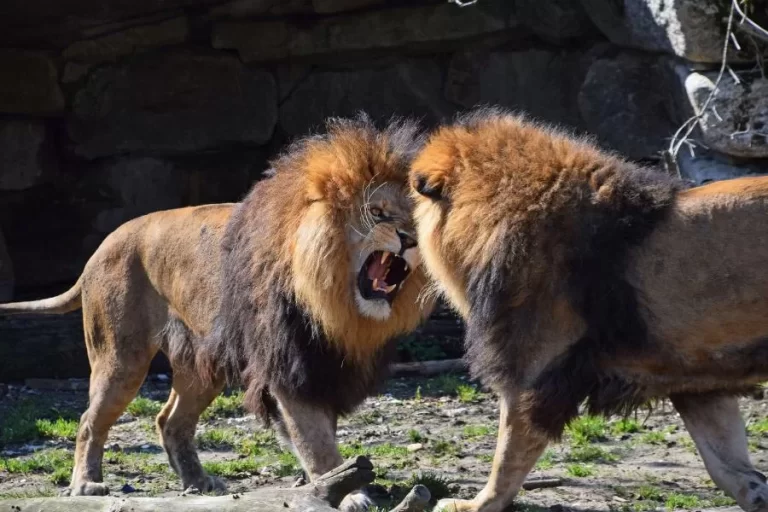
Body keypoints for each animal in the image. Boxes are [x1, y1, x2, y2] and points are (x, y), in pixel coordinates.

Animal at [0, 114, 432, 506]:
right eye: (378, 213)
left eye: (415, 218)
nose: (410, 240)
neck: (336, 304)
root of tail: (101, 248)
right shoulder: (289, 367)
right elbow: (316, 442)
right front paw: (348, 492)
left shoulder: (324, 367)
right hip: (121, 357)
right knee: (90, 420)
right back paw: (86, 484)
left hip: (200, 364)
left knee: (169, 421)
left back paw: (198, 482)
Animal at [412, 106, 768, 510]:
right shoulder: (696, 377)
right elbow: (726, 462)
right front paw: (757, 493)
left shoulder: (535, 371)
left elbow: (506, 457)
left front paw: (476, 504)